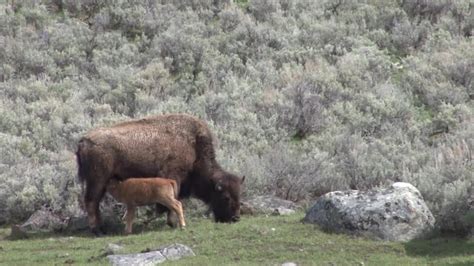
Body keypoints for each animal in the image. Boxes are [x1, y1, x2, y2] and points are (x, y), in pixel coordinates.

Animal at [77, 113, 244, 234]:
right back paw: (97, 230)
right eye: (226, 197)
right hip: (97, 180)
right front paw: (172, 223)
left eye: (239, 196)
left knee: (94, 202)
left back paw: (101, 228)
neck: (194, 145)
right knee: (91, 201)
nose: (236, 218)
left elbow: (174, 199)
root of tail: (84, 140)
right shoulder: (173, 176)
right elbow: (172, 201)